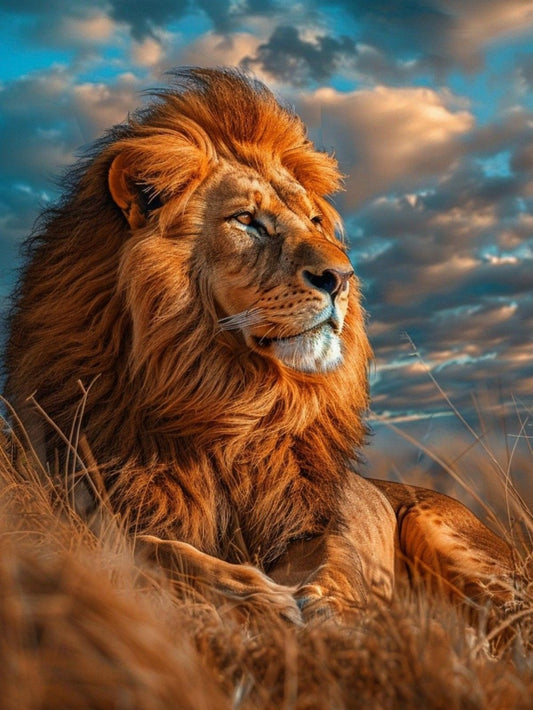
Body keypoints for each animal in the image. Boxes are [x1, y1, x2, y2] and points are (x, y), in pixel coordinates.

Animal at [4, 67, 519, 625]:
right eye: (247, 220)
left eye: (314, 221)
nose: (343, 278)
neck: (228, 400)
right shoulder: (78, 513)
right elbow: (149, 549)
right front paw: (260, 596)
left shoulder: (309, 518)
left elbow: (337, 558)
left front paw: (329, 608)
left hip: (439, 527)